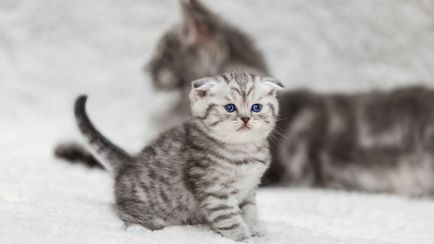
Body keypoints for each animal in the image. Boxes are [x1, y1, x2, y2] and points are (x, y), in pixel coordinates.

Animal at [73, 71, 284, 241]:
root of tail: (127, 165)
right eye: (230, 108)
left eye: (256, 108)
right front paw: (245, 238)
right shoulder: (215, 193)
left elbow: (249, 213)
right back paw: (137, 229)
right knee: (126, 215)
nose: (246, 118)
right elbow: (230, 221)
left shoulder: (249, 190)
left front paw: (254, 230)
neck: (244, 150)